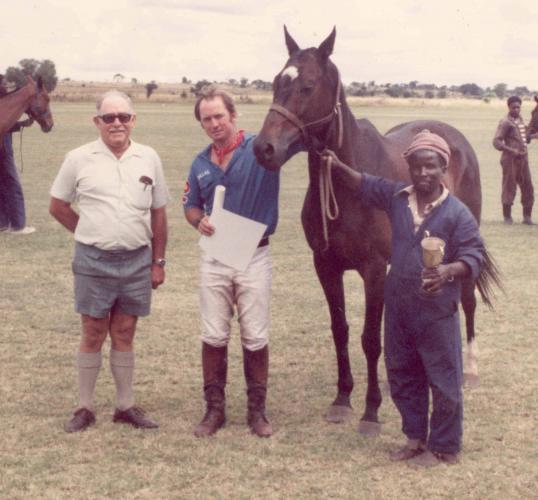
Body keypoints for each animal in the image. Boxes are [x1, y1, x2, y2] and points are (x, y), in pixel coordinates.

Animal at [251, 27, 498, 434]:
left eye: (307, 85)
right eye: (275, 82)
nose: (264, 148)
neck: (345, 185)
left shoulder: (372, 269)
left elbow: (369, 338)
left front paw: (370, 410)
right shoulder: (326, 266)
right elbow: (340, 330)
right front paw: (342, 399)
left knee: (468, 301)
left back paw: (472, 371)